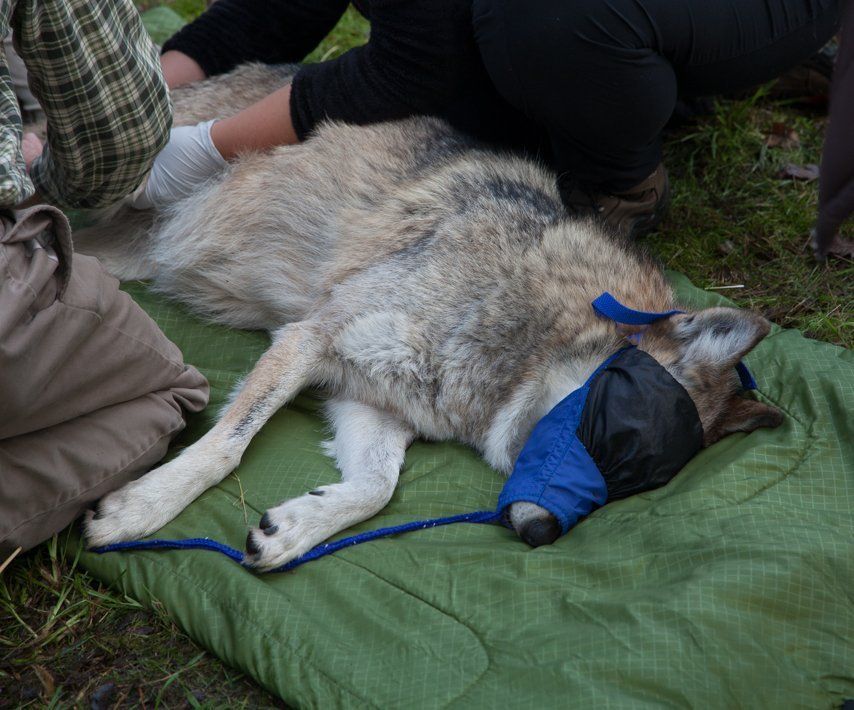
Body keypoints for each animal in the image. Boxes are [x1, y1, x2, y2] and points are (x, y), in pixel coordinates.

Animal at [78, 64, 784, 572]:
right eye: (616, 446)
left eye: (634, 488)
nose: (541, 533)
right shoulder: (309, 339)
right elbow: (227, 446)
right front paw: (140, 509)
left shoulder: (370, 400)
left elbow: (378, 488)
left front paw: (294, 529)